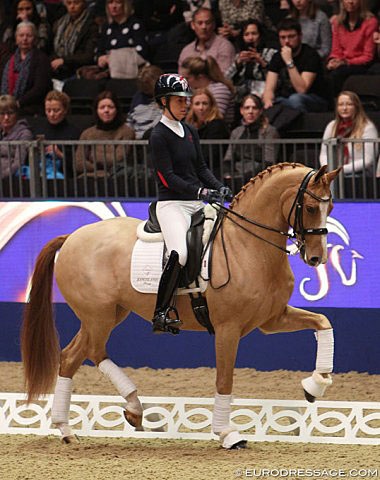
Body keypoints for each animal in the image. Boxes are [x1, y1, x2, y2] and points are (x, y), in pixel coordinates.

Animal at [20, 163, 342, 448]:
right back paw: (126, 410)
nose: (316, 258)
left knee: (72, 357)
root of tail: (71, 237)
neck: (248, 245)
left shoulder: (271, 319)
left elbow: (323, 322)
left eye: (330, 209)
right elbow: (224, 379)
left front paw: (316, 384)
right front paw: (227, 434)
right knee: (91, 353)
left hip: (108, 314)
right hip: (98, 316)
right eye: (310, 208)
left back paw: (74, 427)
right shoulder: (228, 328)